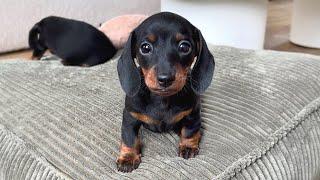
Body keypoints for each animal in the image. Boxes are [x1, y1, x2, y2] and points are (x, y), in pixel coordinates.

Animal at [115, 11, 215, 172]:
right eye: (145, 47)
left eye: (184, 47)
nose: (165, 79)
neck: (162, 99)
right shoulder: (130, 116)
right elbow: (129, 138)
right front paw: (128, 157)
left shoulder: (192, 112)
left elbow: (190, 130)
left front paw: (188, 146)